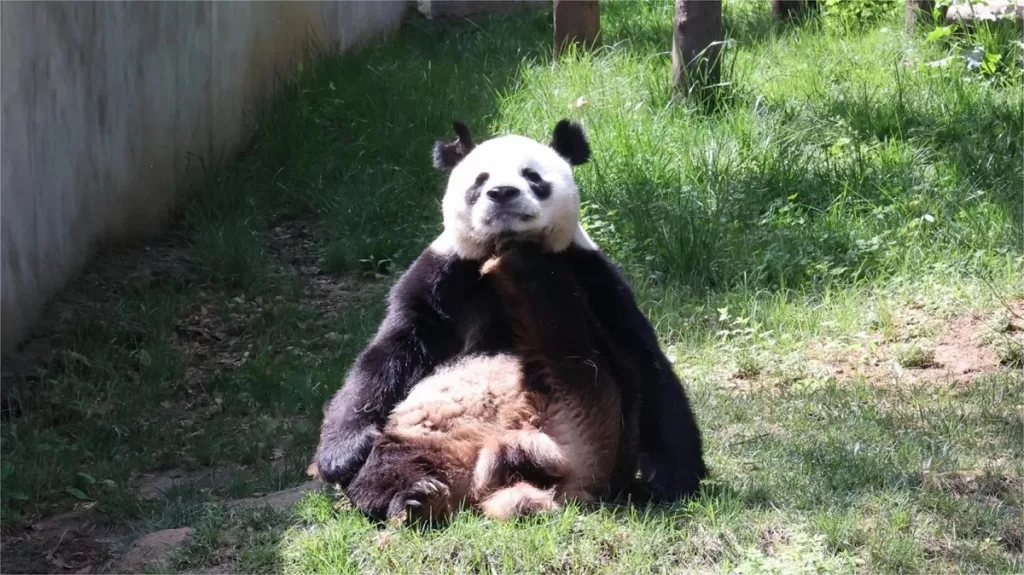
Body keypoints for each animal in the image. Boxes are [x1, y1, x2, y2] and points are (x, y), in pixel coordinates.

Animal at [310, 119, 707, 523]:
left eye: (533, 176)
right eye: (480, 180)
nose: (502, 193)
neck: (500, 244)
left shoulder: (592, 275)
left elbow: (645, 359)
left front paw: (674, 479)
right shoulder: (443, 277)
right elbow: (390, 352)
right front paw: (342, 455)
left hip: (596, 403)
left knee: (574, 341)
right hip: (423, 437)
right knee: (391, 465)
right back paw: (415, 497)